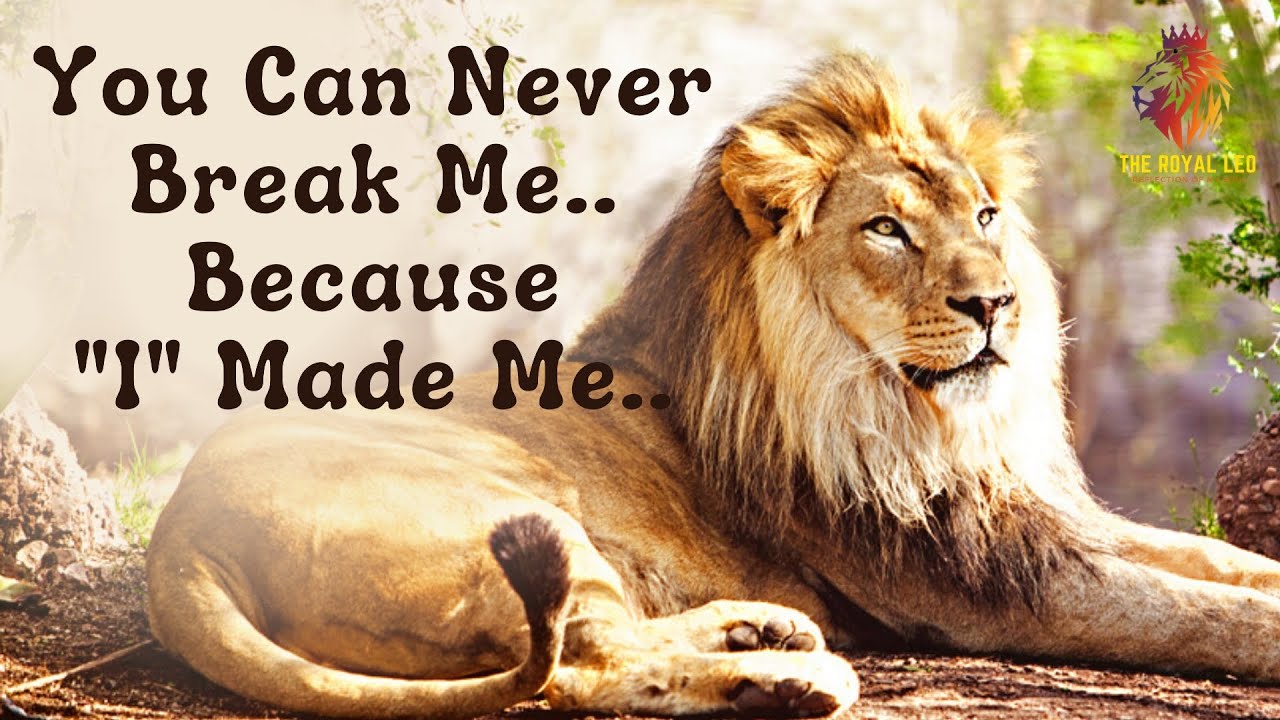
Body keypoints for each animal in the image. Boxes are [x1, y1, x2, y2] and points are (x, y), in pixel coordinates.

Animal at [146, 52, 1280, 719]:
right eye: (886, 229)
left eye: (987, 216)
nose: (996, 303)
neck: (909, 413)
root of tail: (178, 538)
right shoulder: (981, 587)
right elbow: (1187, 611)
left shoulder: (1025, 522)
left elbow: (1209, 561)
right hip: (503, 512)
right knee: (576, 668)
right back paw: (786, 679)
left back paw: (760, 631)